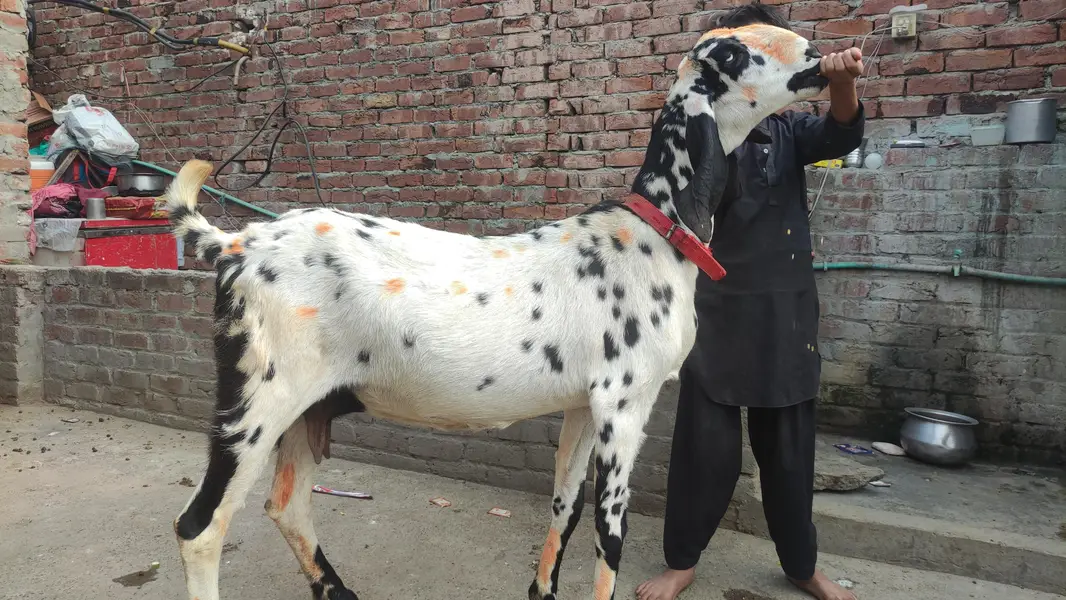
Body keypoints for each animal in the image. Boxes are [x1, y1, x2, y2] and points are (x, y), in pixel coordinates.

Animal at [168, 22, 829, 600]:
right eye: (736, 53)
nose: (818, 56)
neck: (656, 233)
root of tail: (237, 244)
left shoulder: (582, 406)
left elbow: (565, 507)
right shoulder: (624, 402)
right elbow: (609, 534)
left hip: (311, 406)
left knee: (287, 505)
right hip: (259, 397)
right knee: (201, 527)